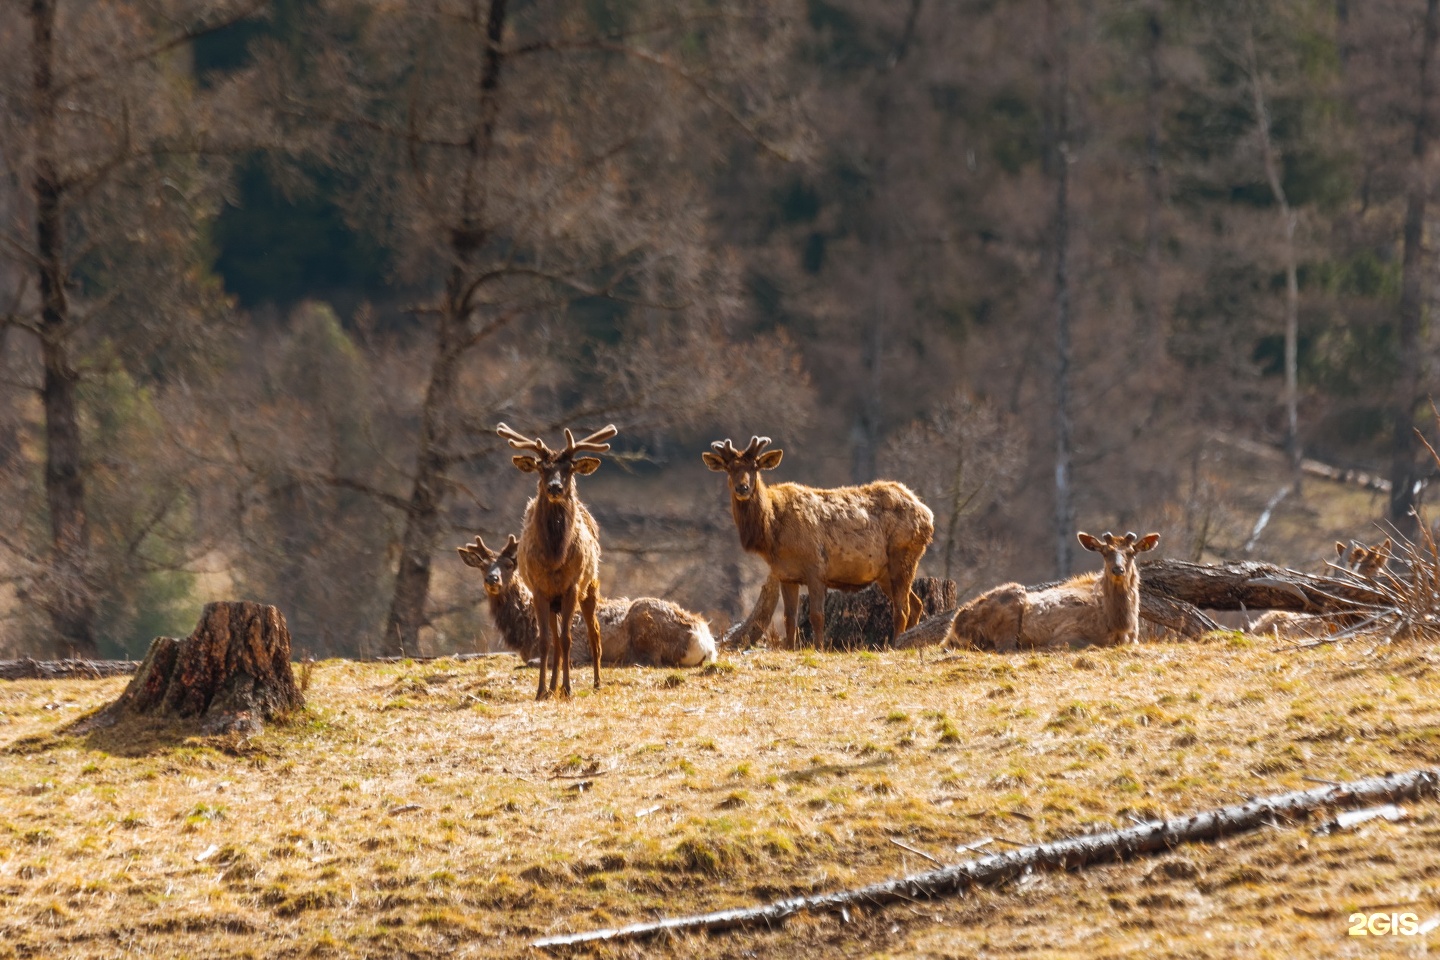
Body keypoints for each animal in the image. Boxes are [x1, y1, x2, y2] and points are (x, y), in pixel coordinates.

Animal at [457, 532, 717, 667]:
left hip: (644, 616)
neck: (526, 631)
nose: (492, 579)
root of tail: (705, 642)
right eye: (482, 566)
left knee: (652, 660)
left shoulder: (574, 647)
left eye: (510, 565)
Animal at [498, 420, 616, 699]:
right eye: (542, 468)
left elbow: (567, 639)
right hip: (554, 602)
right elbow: (545, 642)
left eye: (569, 469)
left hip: (591, 585)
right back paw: (552, 687)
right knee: (554, 637)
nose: (554, 487)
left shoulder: (572, 586)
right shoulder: (539, 589)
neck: (554, 558)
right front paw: (542, 690)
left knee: (594, 633)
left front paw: (569, 688)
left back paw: (596, 682)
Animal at [705, 437, 933, 650]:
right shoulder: (785, 575)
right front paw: (790, 648)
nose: (742, 488)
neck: (772, 534)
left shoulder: (816, 567)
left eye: (755, 467)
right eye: (729, 468)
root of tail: (927, 515)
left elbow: (817, 615)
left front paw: (819, 648)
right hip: (884, 573)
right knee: (916, 604)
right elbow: (789, 618)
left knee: (902, 608)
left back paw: (895, 644)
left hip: (903, 555)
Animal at [944, 529, 1157, 656]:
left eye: (1131, 552)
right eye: (1105, 552)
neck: (1119, 625)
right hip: (1011, 600)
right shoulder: (1068, 633)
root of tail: (952, 630)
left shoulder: (1134, 639)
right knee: (1005, 647)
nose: (1117, 569)